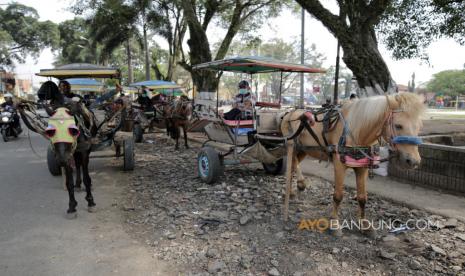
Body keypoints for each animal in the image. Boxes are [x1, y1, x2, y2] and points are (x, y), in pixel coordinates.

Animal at [280, 92, 424, 235]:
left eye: (419, 127)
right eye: (398, 125)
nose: (413, 161)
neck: (356, 132)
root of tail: (289, 113)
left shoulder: (362, 168)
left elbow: (362, 197)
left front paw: (364, 224)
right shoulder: (339, 165)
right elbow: (338, 195)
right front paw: (334, 223)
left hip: (304, 150)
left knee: (292, 166)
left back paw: (292, 191)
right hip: (292, 145)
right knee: (293, 162)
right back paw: (300, 183)